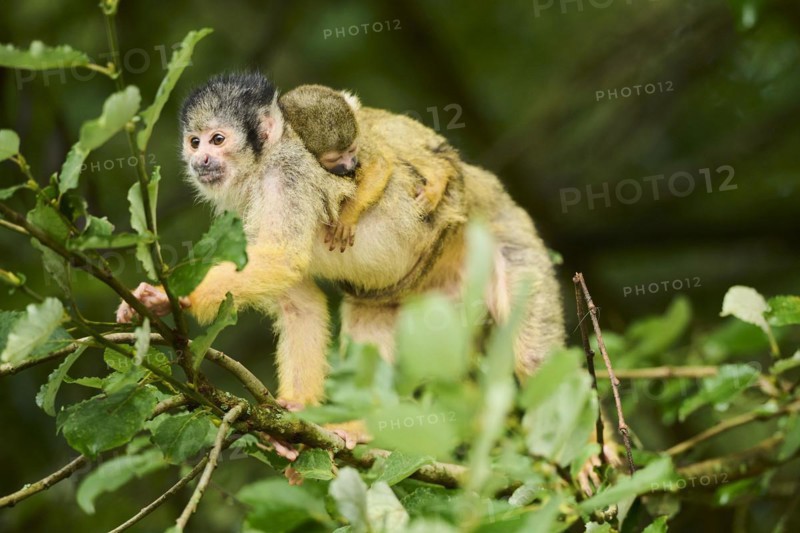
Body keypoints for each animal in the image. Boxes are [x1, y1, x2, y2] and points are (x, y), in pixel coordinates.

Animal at [278, 84, 451, 252]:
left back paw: (437, 175)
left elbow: (378, 165)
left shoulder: (361, 138)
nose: (351, 164)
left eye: (352, 150)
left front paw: (346, 217)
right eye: (334, 159)